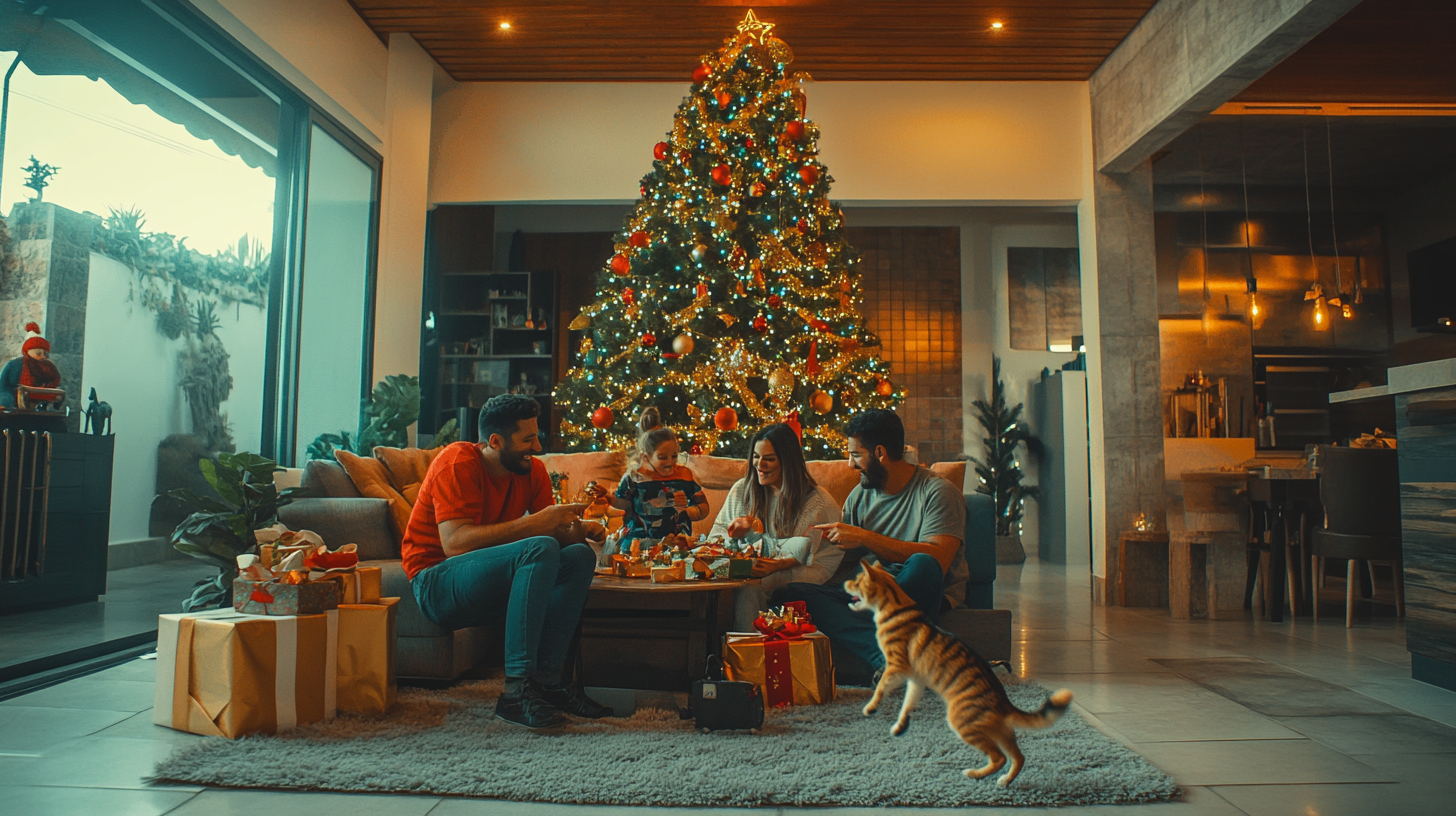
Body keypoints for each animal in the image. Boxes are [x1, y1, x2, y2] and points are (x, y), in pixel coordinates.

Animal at [850, 559, 1077, 786]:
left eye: (857, 580)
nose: (846, 582)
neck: (895, 606)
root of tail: (1004, 703)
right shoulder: (916, 679)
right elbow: (908, 703)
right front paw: (900, 725)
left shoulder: (896, 666)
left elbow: (880, 687)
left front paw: (870, 708)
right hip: (1000, 730)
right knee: (1018, 757)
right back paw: (1005, 780)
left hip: (963, 723)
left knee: (1000, 758)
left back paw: (975, 774)